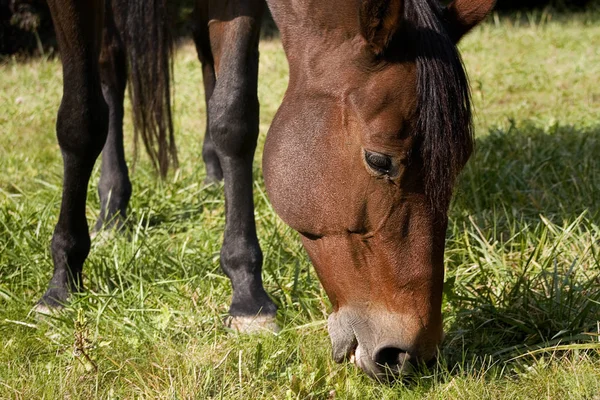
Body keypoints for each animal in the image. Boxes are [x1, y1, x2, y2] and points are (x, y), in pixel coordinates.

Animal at [37, 0, 494, 382]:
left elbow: (233, 116)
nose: (411, 355)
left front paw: (246, 293)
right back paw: (112, 205)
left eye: (461, 162)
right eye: (380, 160)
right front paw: (63, 278)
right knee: (110, 66)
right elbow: (81, 120)